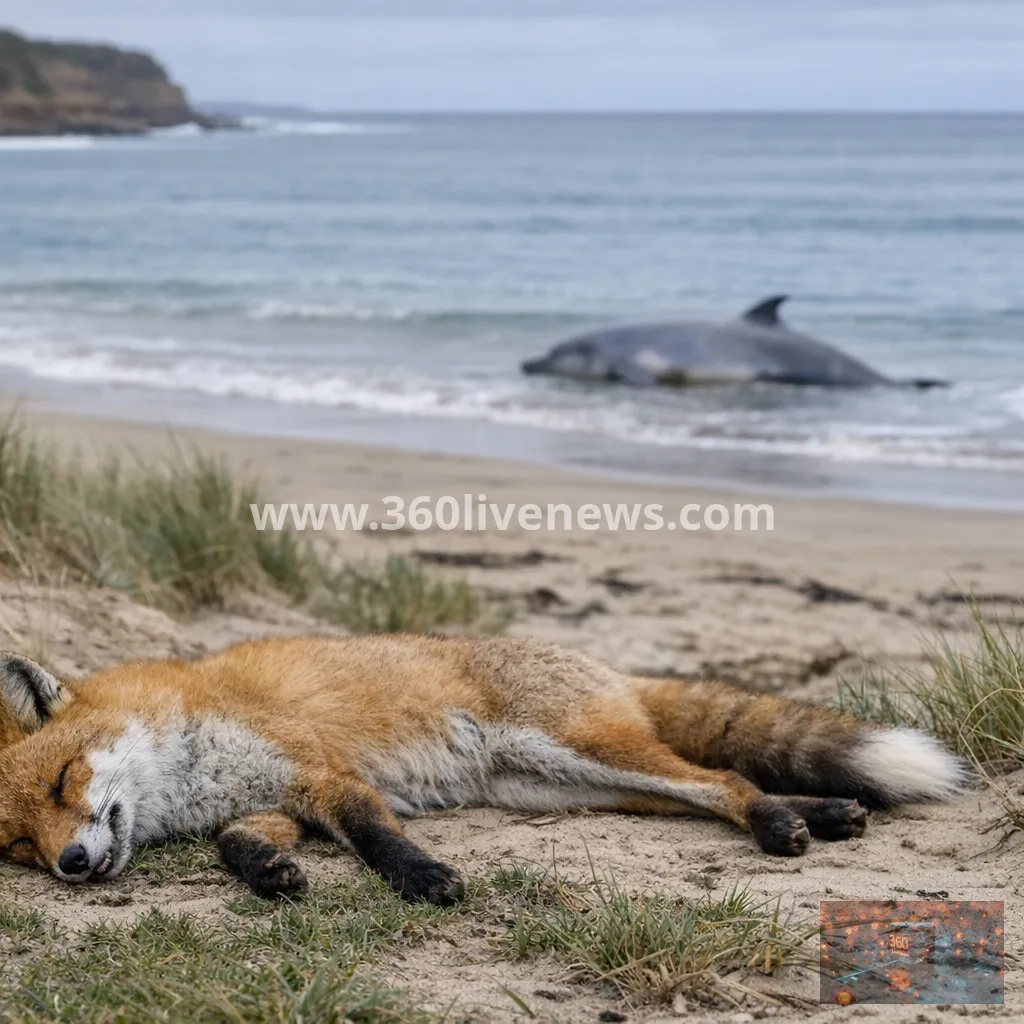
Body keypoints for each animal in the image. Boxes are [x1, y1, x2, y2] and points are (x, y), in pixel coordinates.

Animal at [0, 635, 967, 904]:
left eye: (61, 785)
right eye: (17, 846)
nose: (72, 866)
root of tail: (605, 664)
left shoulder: (319, 773)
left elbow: (374, 836)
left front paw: (425, 879)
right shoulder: (272, 801)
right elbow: (240, 846)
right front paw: (273, 874)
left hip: (580, 751)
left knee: (725, 784)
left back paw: (780, 824)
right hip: (579, 786)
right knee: (709, 793)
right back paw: (825, 811)